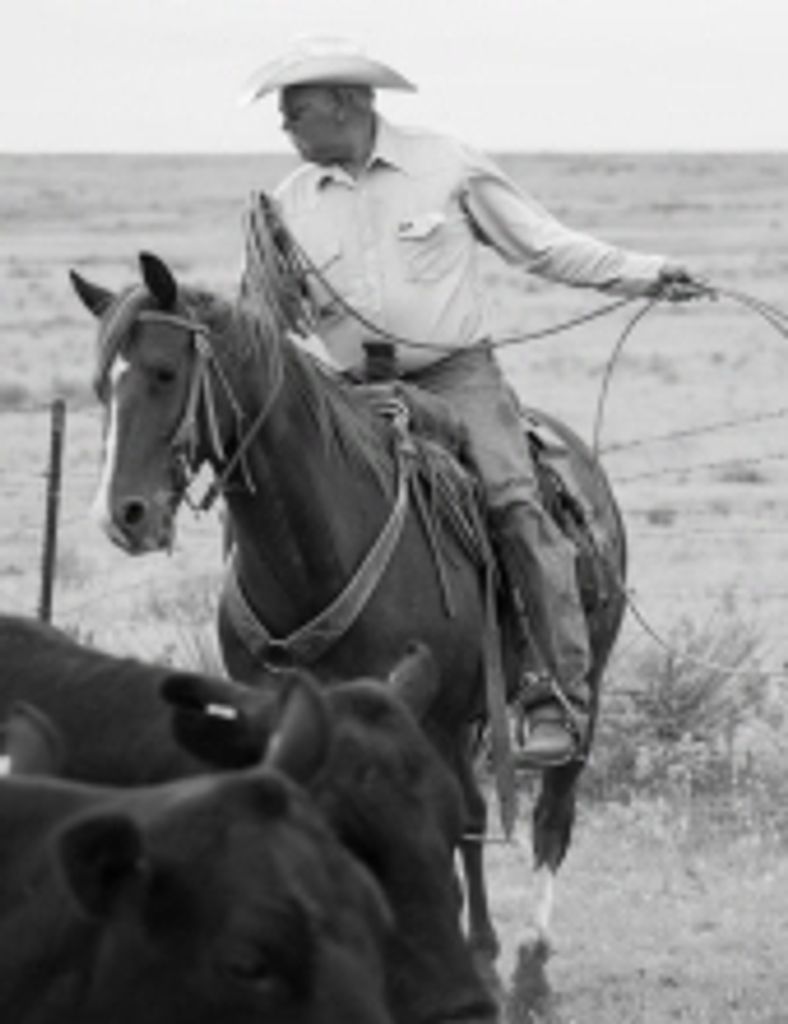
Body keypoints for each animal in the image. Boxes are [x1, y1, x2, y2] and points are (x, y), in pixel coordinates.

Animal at [70, 247, 627, 955]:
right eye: (99, 386)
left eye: (165, 373)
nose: (122, 516)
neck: (315, 557)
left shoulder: (425, 712)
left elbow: (450, 821)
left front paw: (469, 947)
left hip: (574, 690)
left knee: (546, 813)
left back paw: (529, 947)